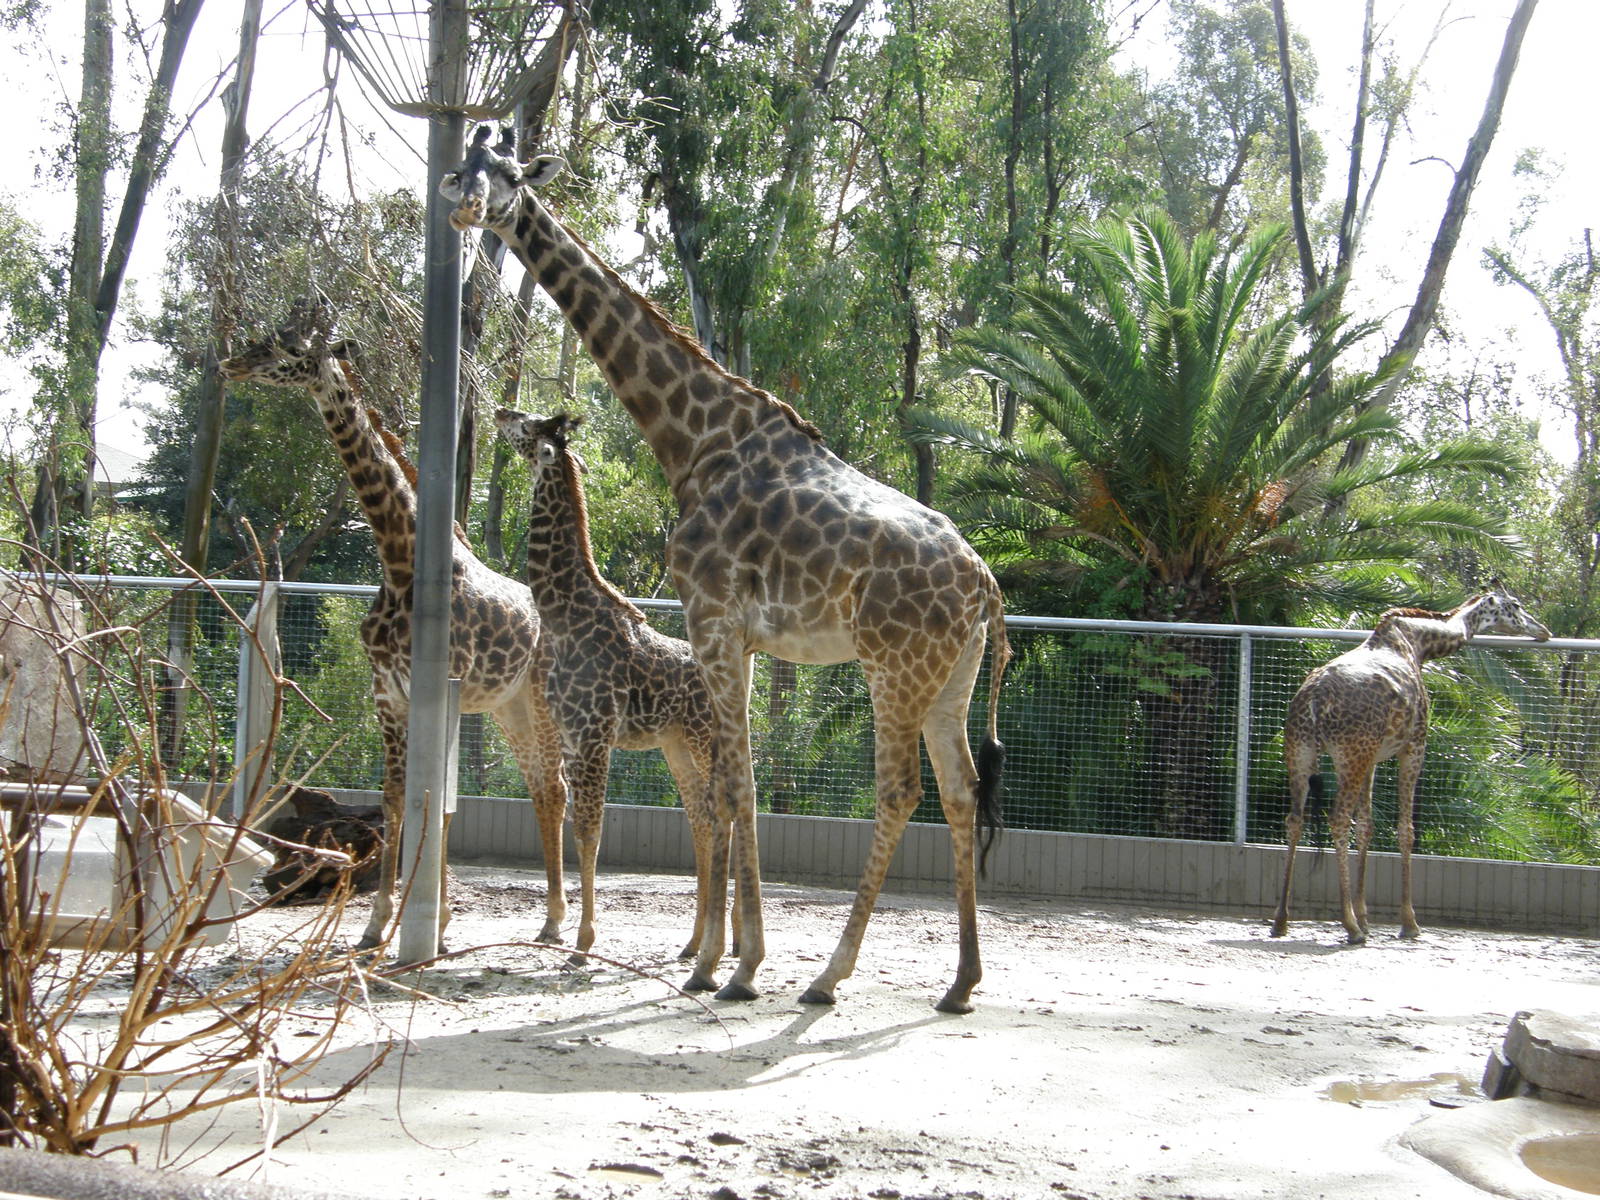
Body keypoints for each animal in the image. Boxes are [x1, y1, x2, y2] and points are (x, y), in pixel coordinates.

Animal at [220, 295, 570, 954]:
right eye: (270, 335)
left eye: (290, 347)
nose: (231, 363)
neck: (400, 557)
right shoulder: (386, 691)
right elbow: (395, 796)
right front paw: (380, 923)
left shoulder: (443, 687)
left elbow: (438, 799)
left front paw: (433, 920)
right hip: (507, 706)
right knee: (541, 786)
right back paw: (551, 916)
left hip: (539, 699)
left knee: (555, 786)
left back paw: (559, 919)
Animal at [495, 407, 730, 962]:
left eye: (528, 426)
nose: (500, 412)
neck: (563, 614)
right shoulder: (569, 734)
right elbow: (577, 826)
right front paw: (573, 934)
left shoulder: (594, 734)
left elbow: (590, 833)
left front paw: (583, 941)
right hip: (676, 746)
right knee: (703, 821)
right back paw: (696, 942)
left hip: (701, 739)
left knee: (723, 818)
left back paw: (721, 942)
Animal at [1272, 583, 1550, 945]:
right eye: (1515, 605)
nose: (1542, 630)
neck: (1418, 643)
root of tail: (1315, 700)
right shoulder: (1414, 746)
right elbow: (1406, 830)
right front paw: (1408, 922)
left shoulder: (1374, 758)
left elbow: (1367, 826)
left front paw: (1366, 917)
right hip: (1349, 754)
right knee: (1337, 819)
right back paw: (1349, 927)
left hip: (1302, 751)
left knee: (1295, 820)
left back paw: (1281, 920)